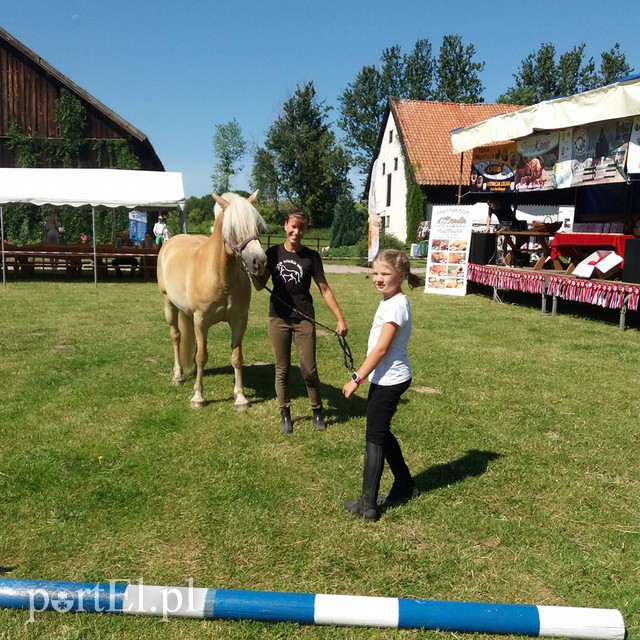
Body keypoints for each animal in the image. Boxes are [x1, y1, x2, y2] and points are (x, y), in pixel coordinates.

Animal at [157, 191, 267, 409]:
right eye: (233, 228)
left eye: (258, 226)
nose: (259, 262)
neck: (221, 276)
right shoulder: (201, 321)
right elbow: (202, 357)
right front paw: (198, 397)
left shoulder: (240, 320)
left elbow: (236, 357)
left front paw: (240, 398)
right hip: (169, 305)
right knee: (176, 337)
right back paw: (178, 376)